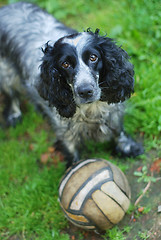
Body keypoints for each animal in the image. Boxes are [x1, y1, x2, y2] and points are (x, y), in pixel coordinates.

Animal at [0, 1, 143, 167]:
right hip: (6, 74)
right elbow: (71, 150)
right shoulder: (65, 129)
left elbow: (118, 131)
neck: (92, 109)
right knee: (11, 95)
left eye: (93, 57)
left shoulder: (114, 112)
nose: (85, 91)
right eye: (65, 64)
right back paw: (14, 115)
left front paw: (128, 148)